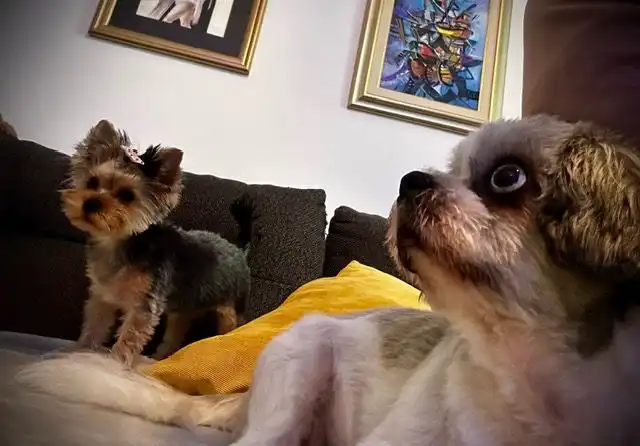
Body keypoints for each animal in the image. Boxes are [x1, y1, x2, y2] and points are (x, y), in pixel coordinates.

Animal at [58, 119, 253, 366]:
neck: (120, 244)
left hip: (230, 308)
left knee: (228, 325)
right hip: (183, 306)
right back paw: (160, 358)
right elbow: (94, 328)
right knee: (175, 332)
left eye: (127, 196)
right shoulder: (103, 297)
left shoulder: (144, 307)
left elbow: (127, 341)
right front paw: (78, 355)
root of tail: (238, 249)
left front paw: (114, 365)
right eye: (92, 182)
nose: (91, 203)